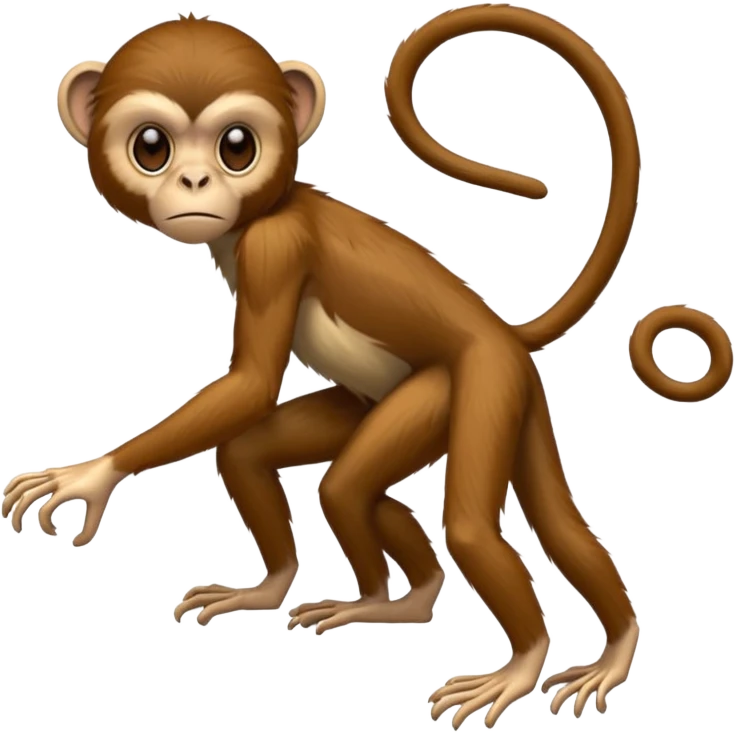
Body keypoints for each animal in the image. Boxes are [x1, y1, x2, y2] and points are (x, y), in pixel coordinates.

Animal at [2, 4, 733, 730]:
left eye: (236, 146)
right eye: (152, 146)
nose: (194, 181)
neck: (261, 212)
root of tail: (502, 331)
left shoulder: (274, 247)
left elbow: (251, 384)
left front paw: (92, 475)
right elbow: (250, 424)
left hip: (484, 382)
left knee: (428, 511)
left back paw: (529, 660)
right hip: (451, 399)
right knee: (327, 475)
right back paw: (377, 599)